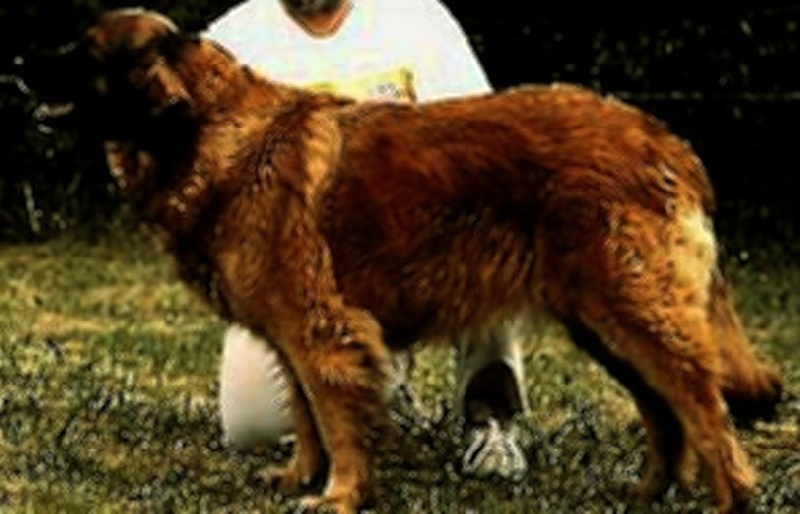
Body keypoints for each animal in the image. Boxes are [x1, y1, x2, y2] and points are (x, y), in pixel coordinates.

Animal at [33, 8, 783, 513]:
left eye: (83, 51)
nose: (20, 67)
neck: (205, 136)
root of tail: (665, 139)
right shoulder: (295, 333)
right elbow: (306, 416)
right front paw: (299, 477)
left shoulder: (321, 328)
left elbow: (334, 419)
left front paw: (338, 494)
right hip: (601, 322)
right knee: (664, 410)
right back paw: (646, 491)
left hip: (633, 310)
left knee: (701, 403)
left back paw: (729, 495)